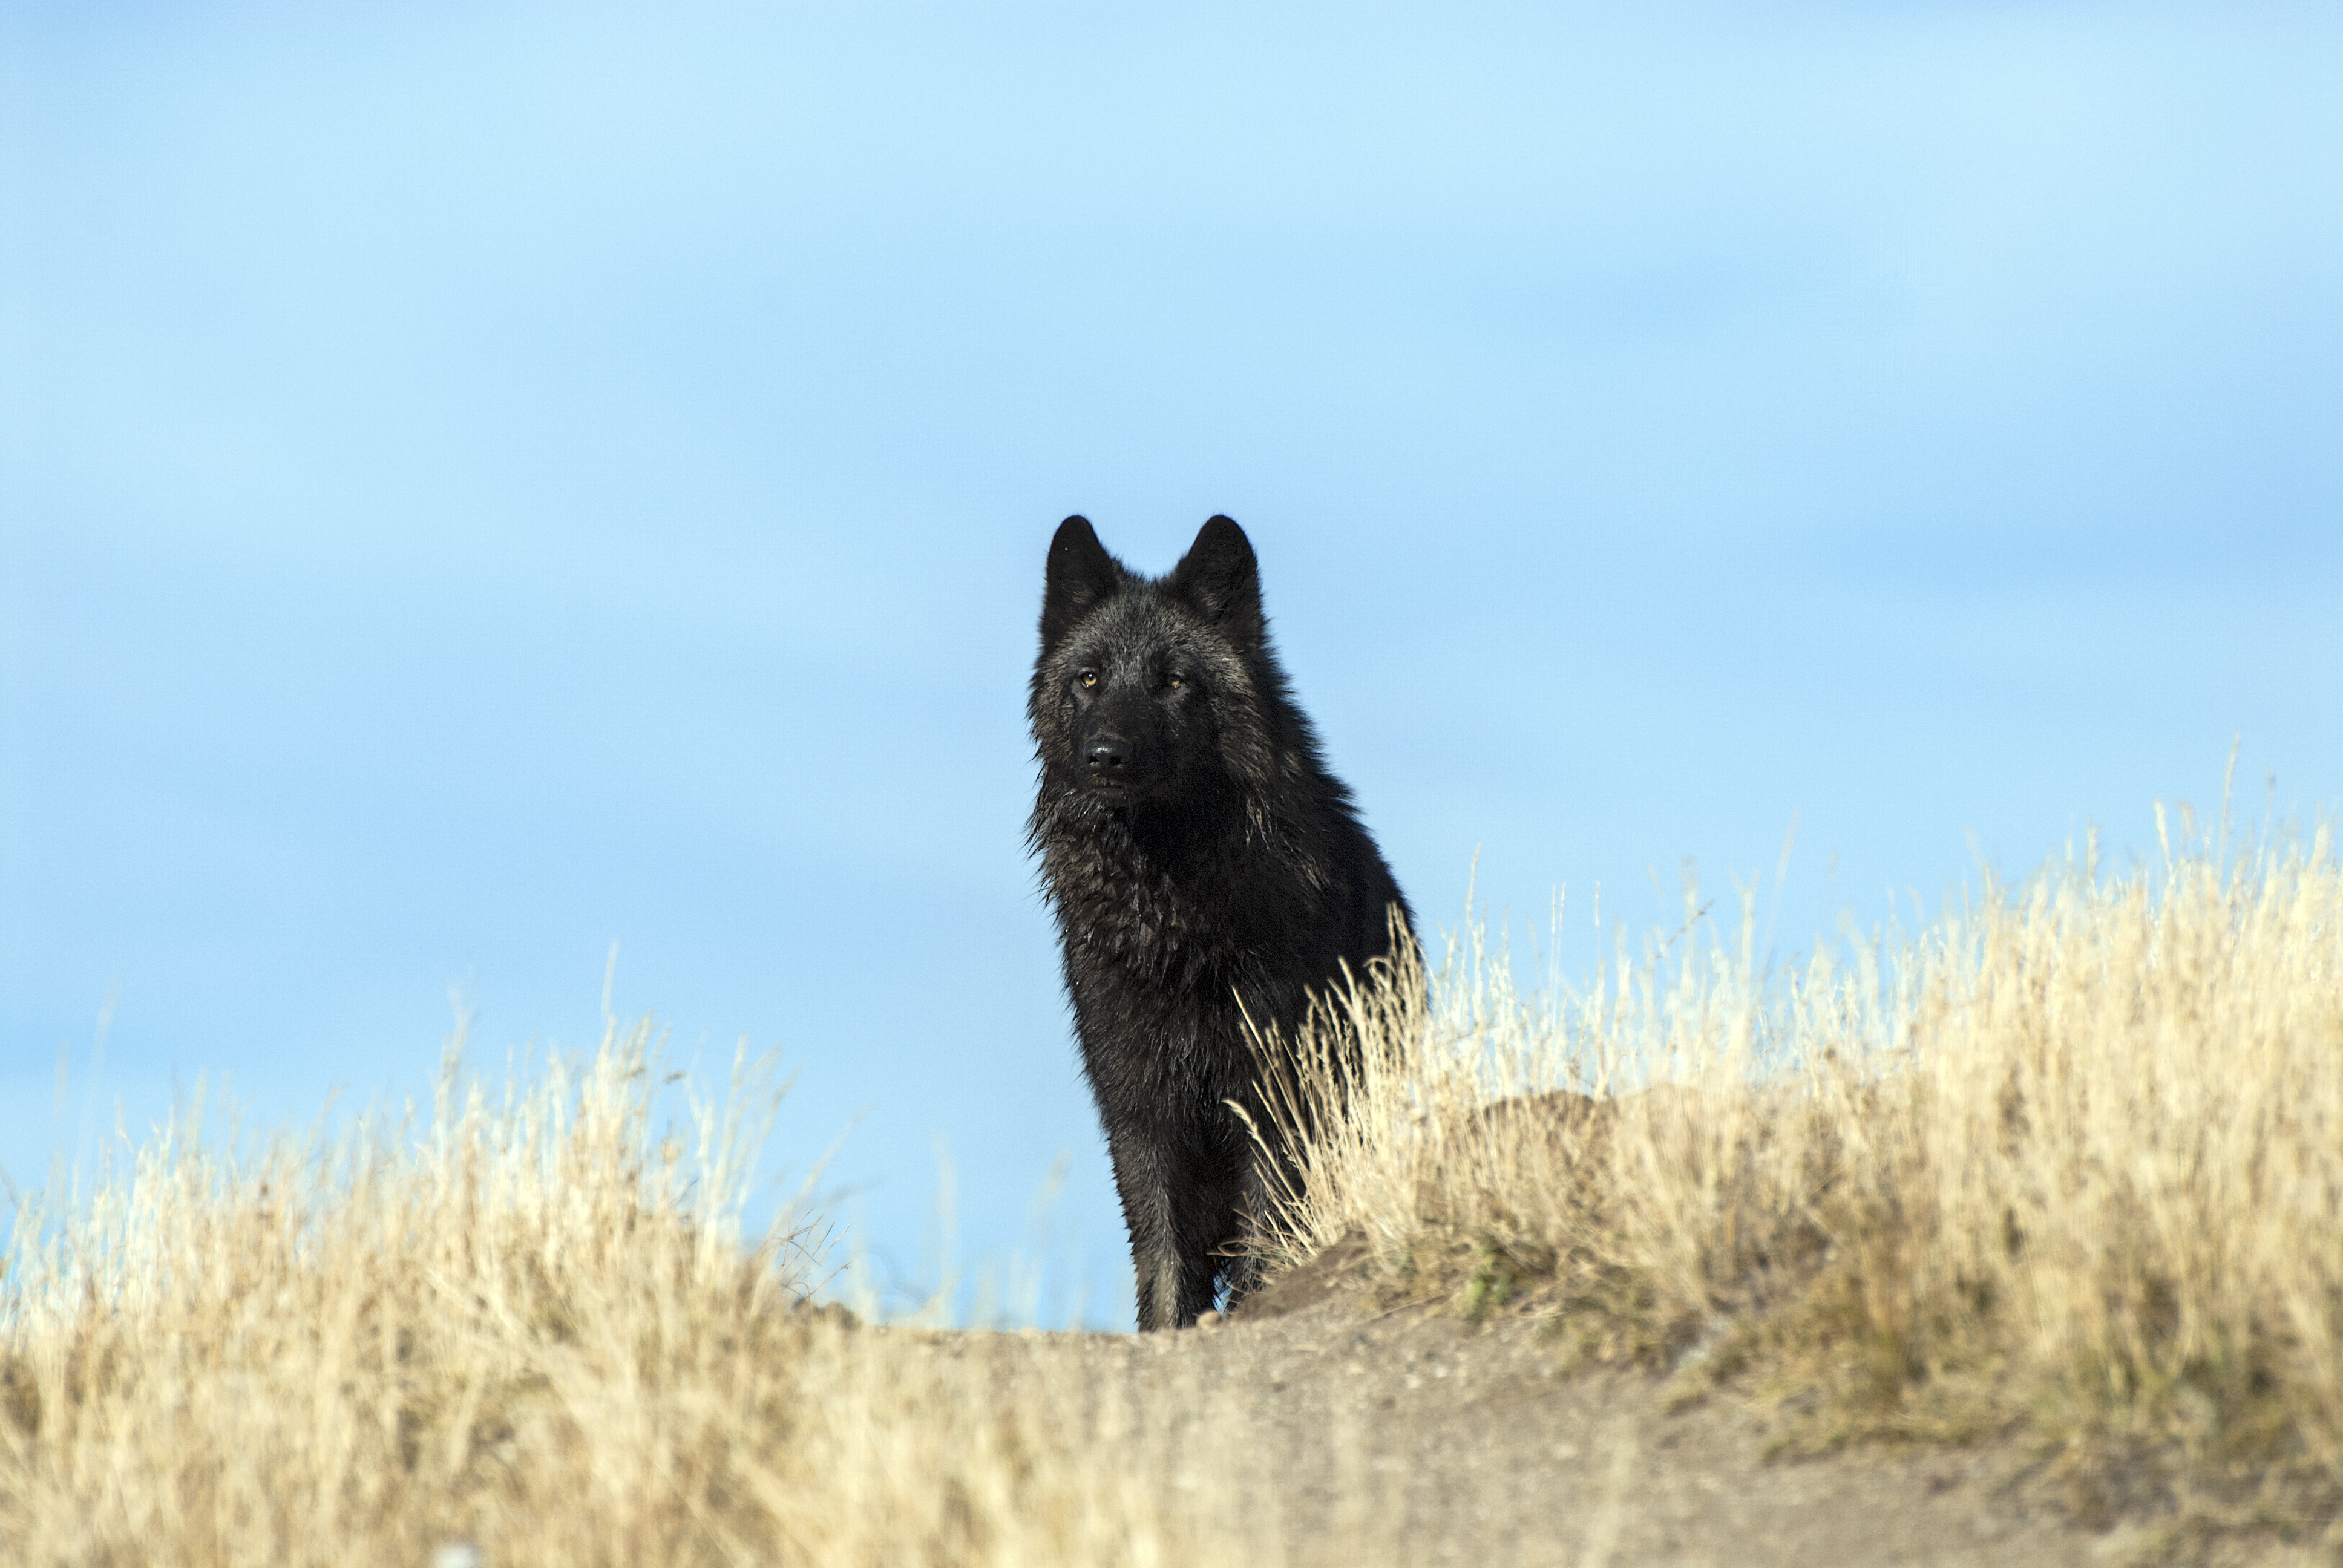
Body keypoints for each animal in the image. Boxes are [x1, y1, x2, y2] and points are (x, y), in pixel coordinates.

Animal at [1031, 520, 1406, 1331]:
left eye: (1173, 682)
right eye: (1089, 679)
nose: (1104, 755)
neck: (1174, 916)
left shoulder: (1272, 1100)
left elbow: (1265, 1240)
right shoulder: (1138, 1109)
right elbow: (1163, 1254)